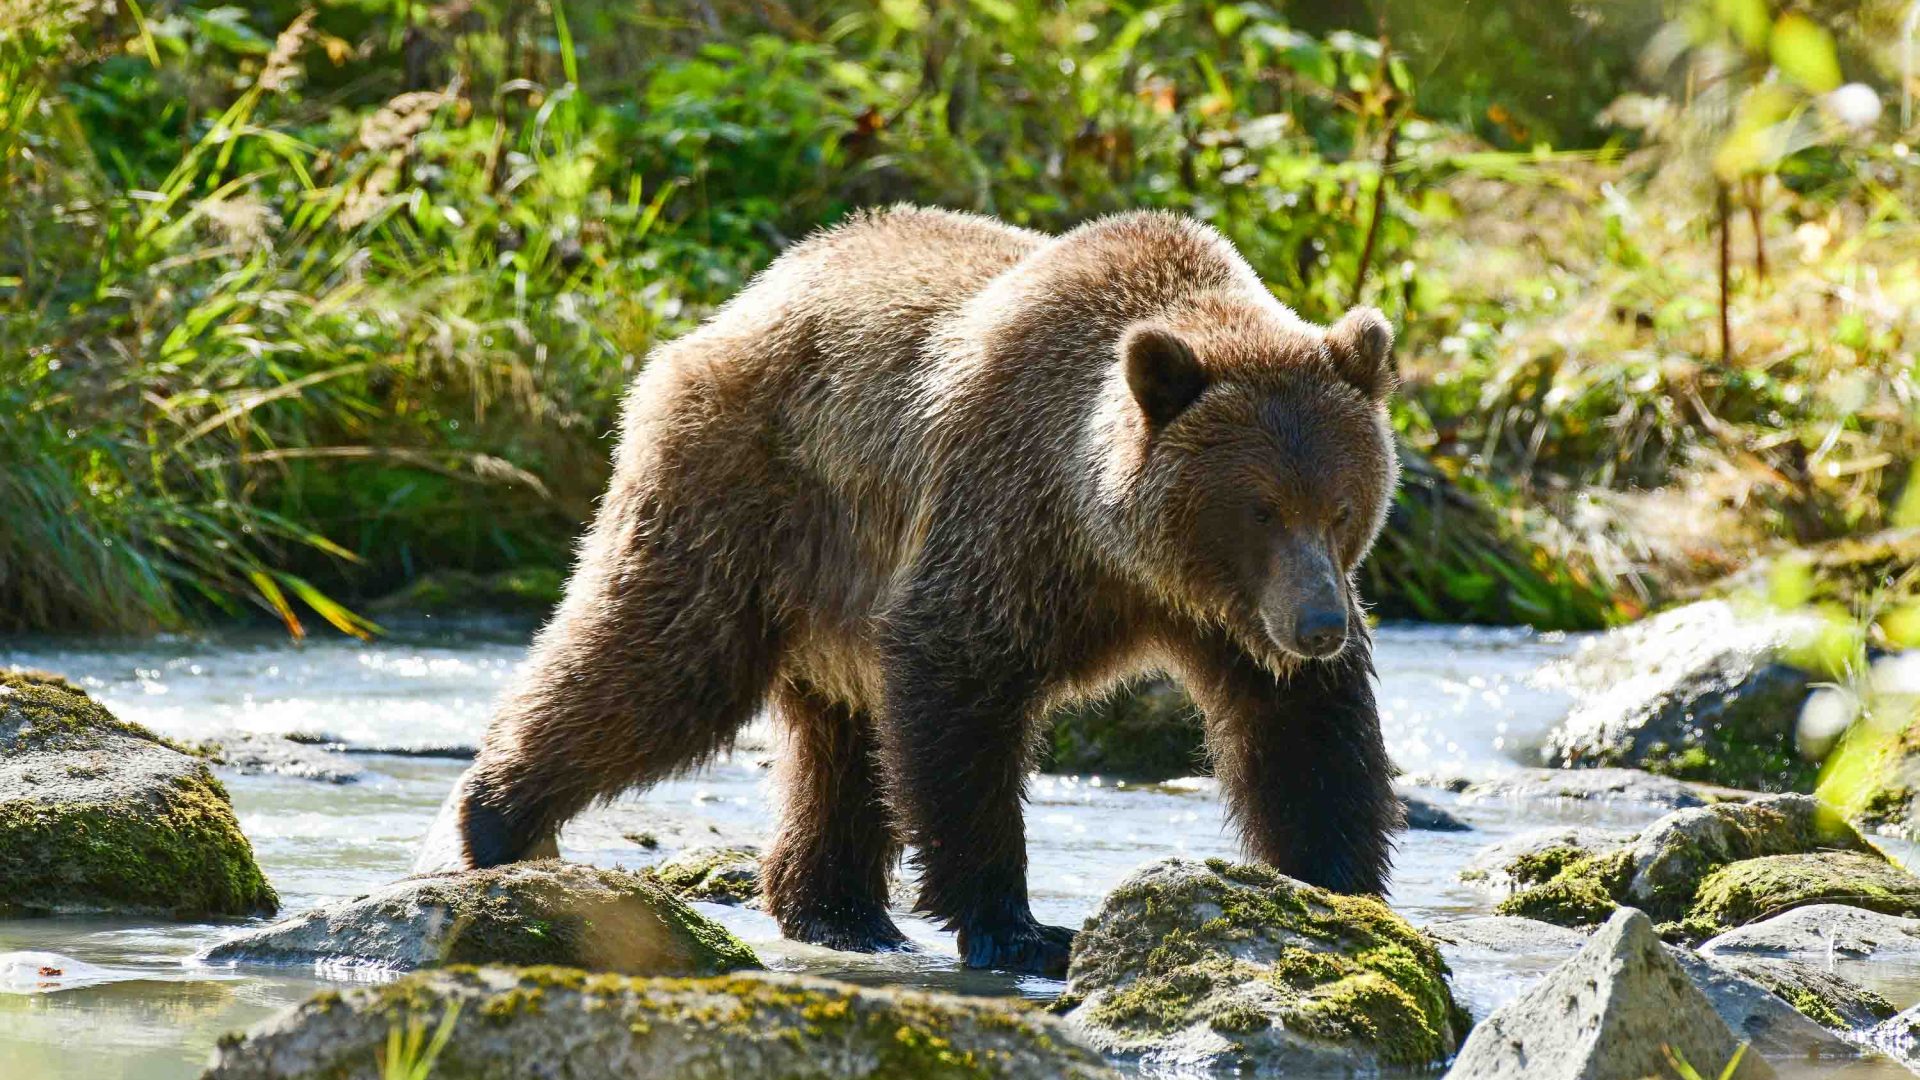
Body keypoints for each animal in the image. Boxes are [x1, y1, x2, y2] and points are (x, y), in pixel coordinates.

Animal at [448, 206, 1404, 976]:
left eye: (1341, 506)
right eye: (1259, 508)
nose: (1320, 624)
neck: (1117, 547)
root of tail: (737, 307)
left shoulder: (1228, 618)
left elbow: (1301, 733)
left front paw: (1340, 891)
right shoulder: (1005, 523)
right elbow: (960, 693)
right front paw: (1021, 928)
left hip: (829, 587)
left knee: (837, 744)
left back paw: (837, 911)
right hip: (747, 500)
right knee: (660, 664)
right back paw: (496, 820)